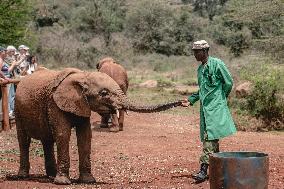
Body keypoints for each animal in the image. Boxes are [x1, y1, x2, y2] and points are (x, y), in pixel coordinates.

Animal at [14, 68, 182, 185]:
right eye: (104, 93)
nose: (184, 102)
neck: (82, 76)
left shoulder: (82, 104)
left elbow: (85, 136)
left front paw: (88, 181)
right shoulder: (54, 104)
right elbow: (63, 134)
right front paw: (63, 183)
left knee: (47, 140)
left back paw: (50, 176)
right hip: (17, 109)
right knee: (24, 141)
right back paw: (23, 176)